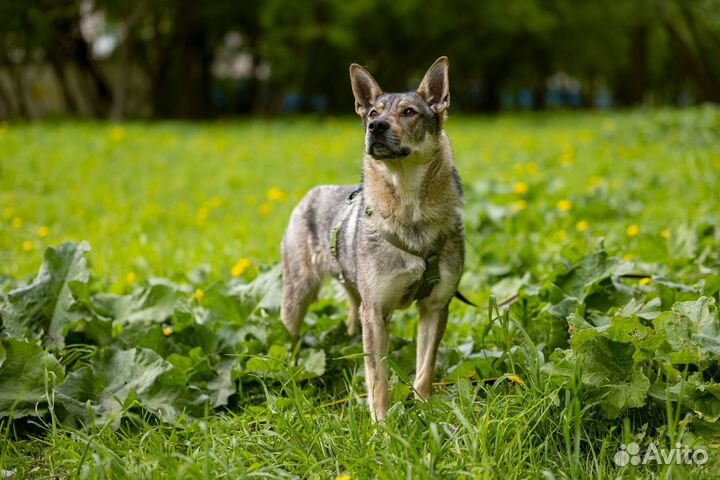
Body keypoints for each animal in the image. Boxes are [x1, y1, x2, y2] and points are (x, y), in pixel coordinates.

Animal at [278, 57, 464, 420]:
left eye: (409, 112)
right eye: (373, 112)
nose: (375, 127)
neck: (409, 208)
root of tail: (311, 193)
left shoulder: (435, 306)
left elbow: (425, 368)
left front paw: (424, 410)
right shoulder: (376, 310)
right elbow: (378, 378)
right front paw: (381, 424)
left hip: (356, 296)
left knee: (352, 322)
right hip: (298, 296)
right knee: (290, 336)